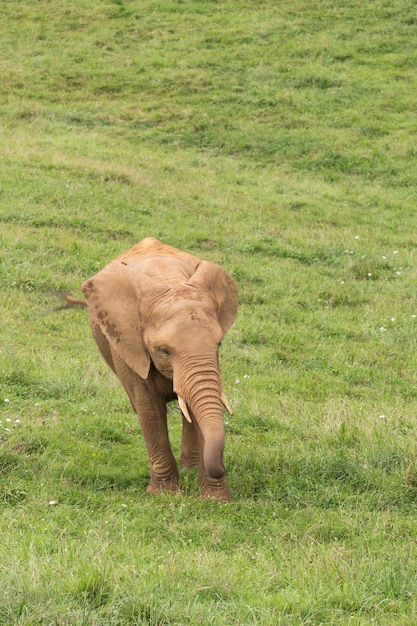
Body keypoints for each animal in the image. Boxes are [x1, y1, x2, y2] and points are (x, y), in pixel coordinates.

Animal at [81, 236, 237, 500]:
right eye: (164, 350)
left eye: (219, 344)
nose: (223, 466)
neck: (169, 279)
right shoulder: (129, 347)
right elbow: (149, 409)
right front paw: (164, 495)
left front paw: (214, 500)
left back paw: (189, 470)